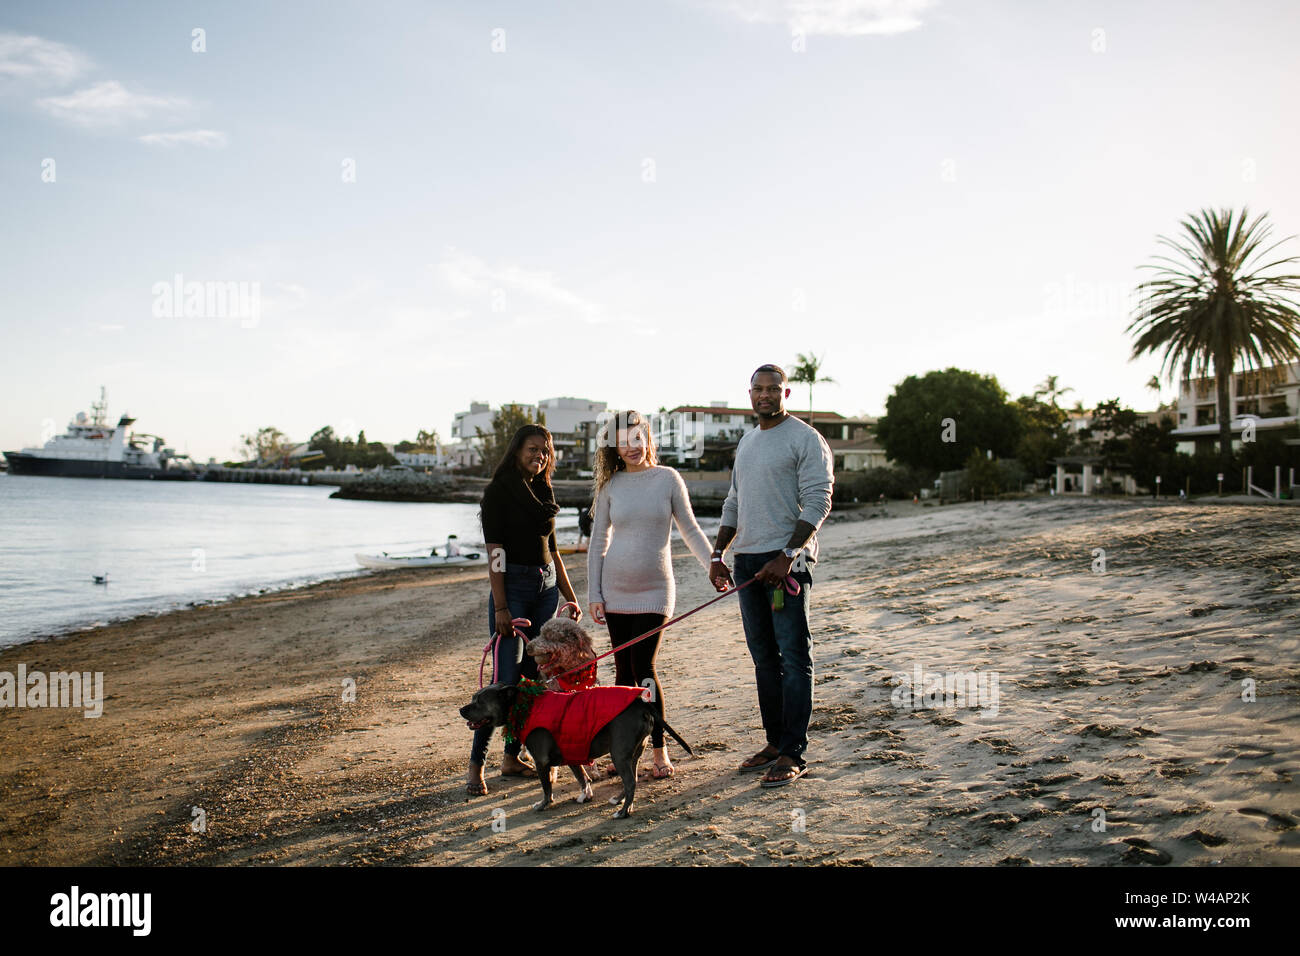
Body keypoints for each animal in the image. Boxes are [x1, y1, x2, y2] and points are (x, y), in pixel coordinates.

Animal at [462, 681, 696, 822]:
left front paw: (543, 805)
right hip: (633, 754)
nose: (461, 709)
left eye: (479, 701)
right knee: (633, 779)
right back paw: (619, 802)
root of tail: (641, 704)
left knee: (631, 782)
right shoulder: (572, 753)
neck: (524, 705)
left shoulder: (541, 762)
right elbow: (582, 777)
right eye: (473, 698)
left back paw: (622, 812)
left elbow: (546, 788)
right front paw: (585, 795)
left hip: (619, 754)